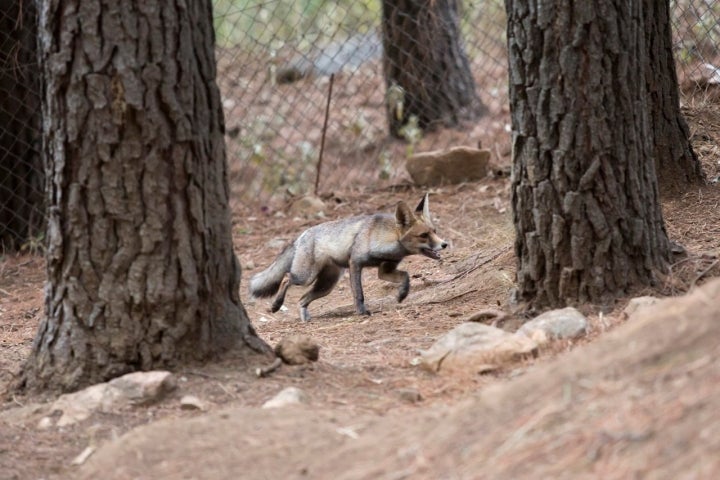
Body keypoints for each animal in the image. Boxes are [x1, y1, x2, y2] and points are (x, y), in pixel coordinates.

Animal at [250, 194, 448, 322]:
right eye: (424, 235)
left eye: (434, 231)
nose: (445, 244)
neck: (387, 241)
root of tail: (301, 235)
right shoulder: (355, 263)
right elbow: (359, 294)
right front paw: (361, 312)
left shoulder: (385, 269)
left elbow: (406, 276)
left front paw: (402, 294)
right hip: (305, 277)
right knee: (286, 278)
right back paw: (276, 305)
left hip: (326, 286)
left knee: (302, 299)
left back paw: (305, 319)